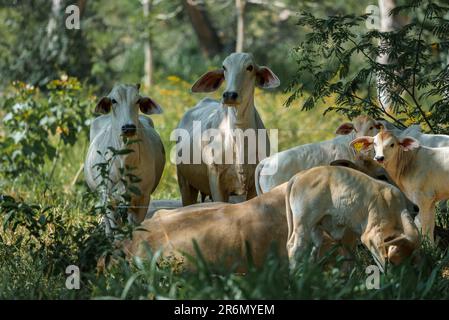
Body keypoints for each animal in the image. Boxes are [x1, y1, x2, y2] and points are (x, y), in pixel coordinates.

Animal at [84, 84, 164, 234]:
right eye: (113, 100)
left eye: (138, 100)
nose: (128, 127)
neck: (124, 161)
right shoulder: (108, 197)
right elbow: (115, 228)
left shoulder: (143, 197)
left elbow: (135, 226)